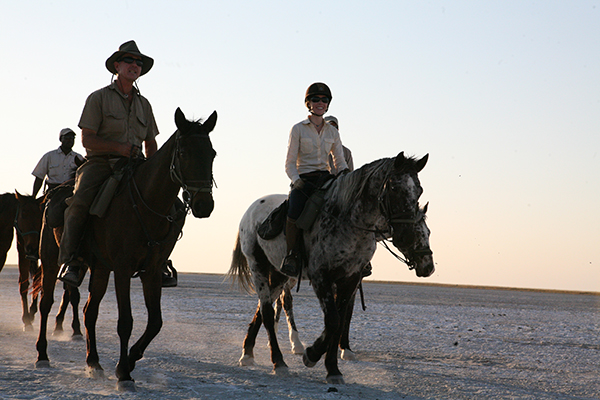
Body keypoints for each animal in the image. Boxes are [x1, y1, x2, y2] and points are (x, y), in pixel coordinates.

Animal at [229, 153, 432, 384]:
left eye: (419, 189)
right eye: (394, 188)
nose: (428, 266)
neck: (349, 222)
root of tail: (251, 210)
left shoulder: (350, 279)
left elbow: (340, 319)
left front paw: (333, 368)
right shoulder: (321, 277)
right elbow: (333, 320)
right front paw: (312, 354)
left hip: (279, 274)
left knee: (264, 308)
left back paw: (247, 353)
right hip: (259, 267)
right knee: (267, 312)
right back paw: (278, 362)